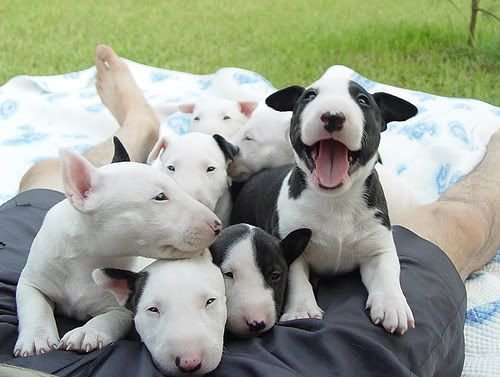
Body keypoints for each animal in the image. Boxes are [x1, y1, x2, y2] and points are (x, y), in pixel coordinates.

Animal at [14, 148, 221, 356]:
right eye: (160, 197)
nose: (218, 225)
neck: (87, 258)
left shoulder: (124, 308)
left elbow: (110, 318)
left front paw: (87, 332)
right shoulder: (33, 279)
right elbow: (34, 304)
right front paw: (36, 338)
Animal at [232, 75, 420, 334]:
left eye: (363, 100)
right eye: (309, 96)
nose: (333, 116)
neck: (336, 201)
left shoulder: (377, 245)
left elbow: (387, 271)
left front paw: (393, 307)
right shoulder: (292, 245)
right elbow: (297, 280)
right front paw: (301, 310)